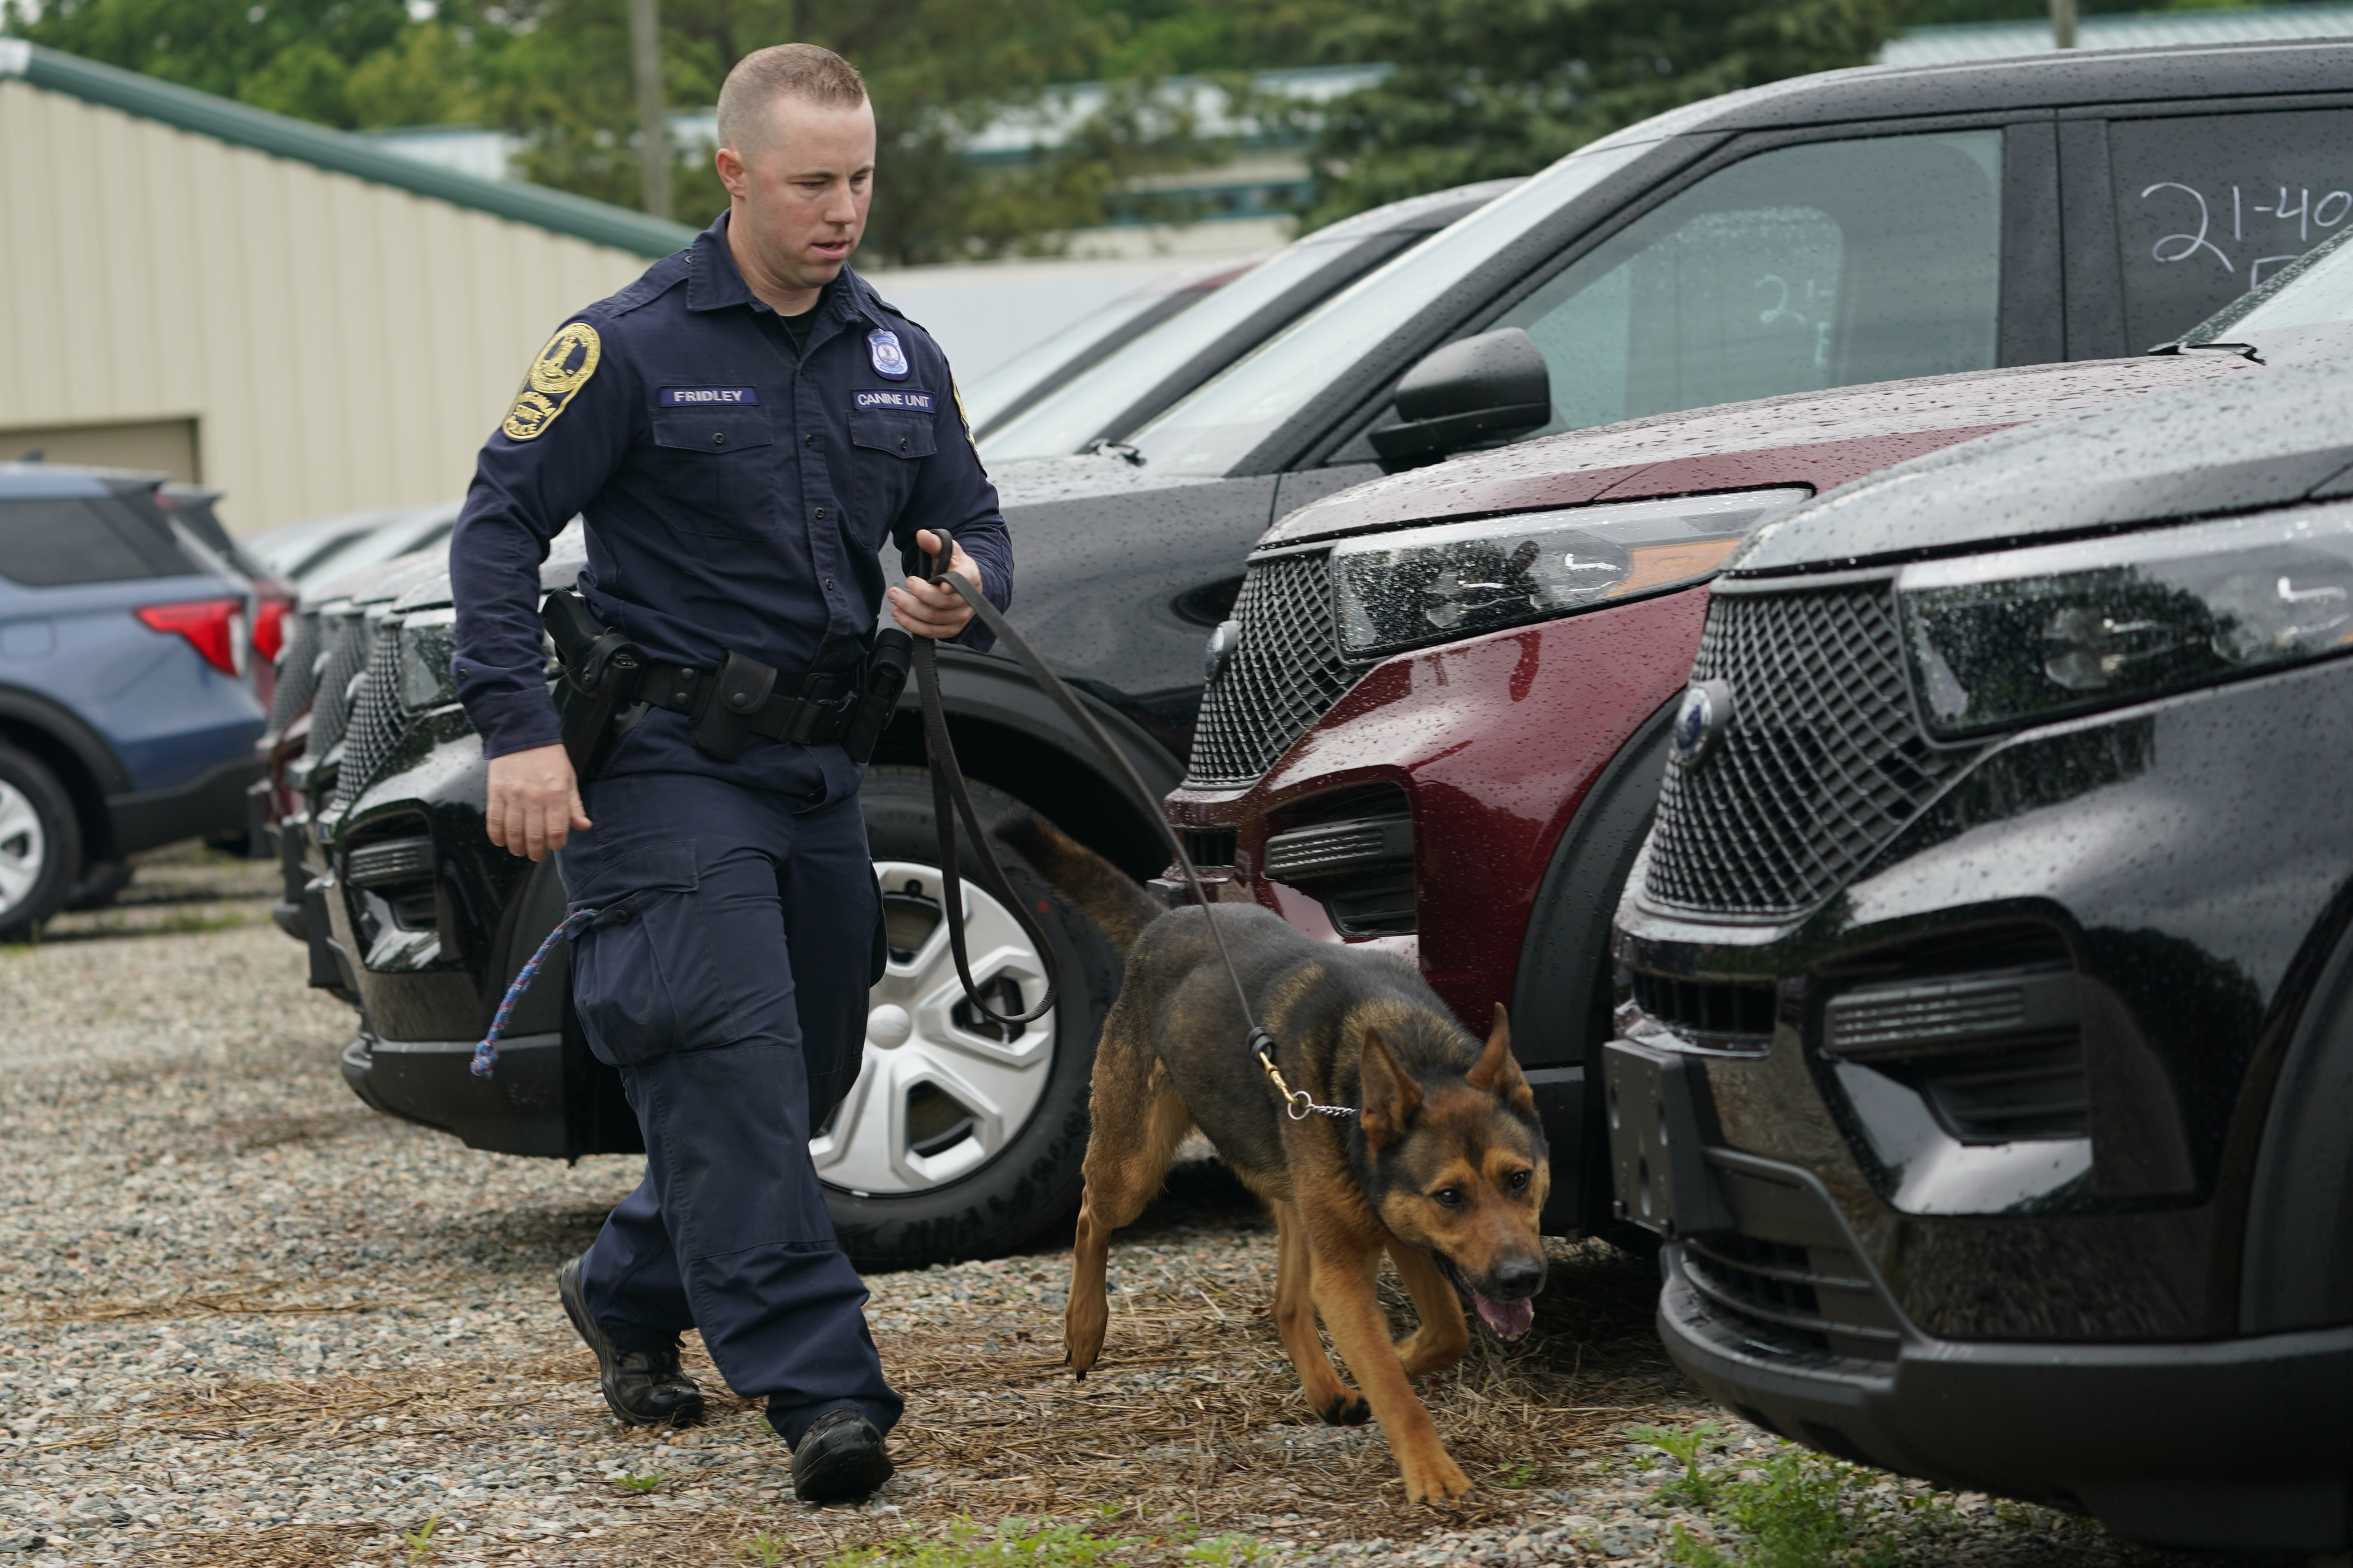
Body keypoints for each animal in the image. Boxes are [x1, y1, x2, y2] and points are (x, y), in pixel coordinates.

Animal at [1002, 818, 1553, 1504]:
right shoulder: (1349, 1266)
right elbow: (1397, 1387)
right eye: (1449, 1196)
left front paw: (1392, 1361)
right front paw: (1431, 1469)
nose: (1521, 1279)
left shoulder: (1392, 1227)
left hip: (1296, 1198)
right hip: (1133, 1169)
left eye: (1519, 1179)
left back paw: (1327, 1388)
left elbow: (1444, 1331)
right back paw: (1084, 1326)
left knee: (1287, 1304)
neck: (1404, 1052)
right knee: (1089, 1217)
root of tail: (1166, 920)